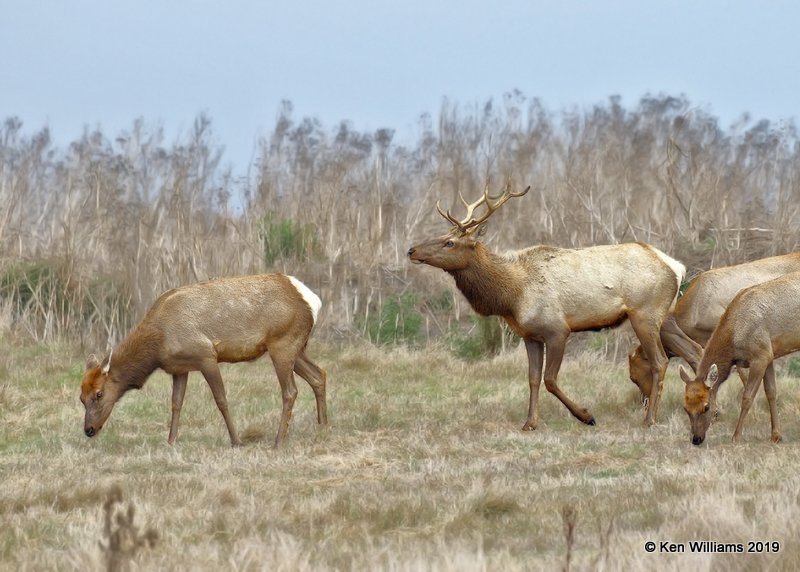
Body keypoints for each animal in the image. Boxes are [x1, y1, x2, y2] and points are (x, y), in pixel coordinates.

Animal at [79, 274, 328, 446]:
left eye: (99, 394)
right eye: (81, 398)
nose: (88, 429)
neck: (157, 346)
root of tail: (313, 300)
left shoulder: (206, 355)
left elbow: (221, 400)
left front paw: (236, 441)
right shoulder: (179, 368)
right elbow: (176, 403)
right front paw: (171, 441)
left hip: (282, 344)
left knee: (290, 391)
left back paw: (278, 441)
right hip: (294, 347)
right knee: (319, 374)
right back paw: (323, 426)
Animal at [410, 182, 684, 428]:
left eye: (450, 243)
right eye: (442, 236)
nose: (411, 250)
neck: (512, 297)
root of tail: (676, 266)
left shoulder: (557, 330)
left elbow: (550, 379)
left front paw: (586, 416)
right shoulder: (530, 335)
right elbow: (533, 378)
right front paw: (530, 422)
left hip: (645, 314)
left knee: (660, 361)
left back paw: (649, 420)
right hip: (664, 316)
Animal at [680, 272, 800, 446]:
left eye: (707, 407)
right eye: (685, 407)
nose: (696, 439)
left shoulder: (760, 355)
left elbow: (747, 397)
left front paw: (736, 437)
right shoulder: (768, 354)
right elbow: (771, 392)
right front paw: (776, 436)